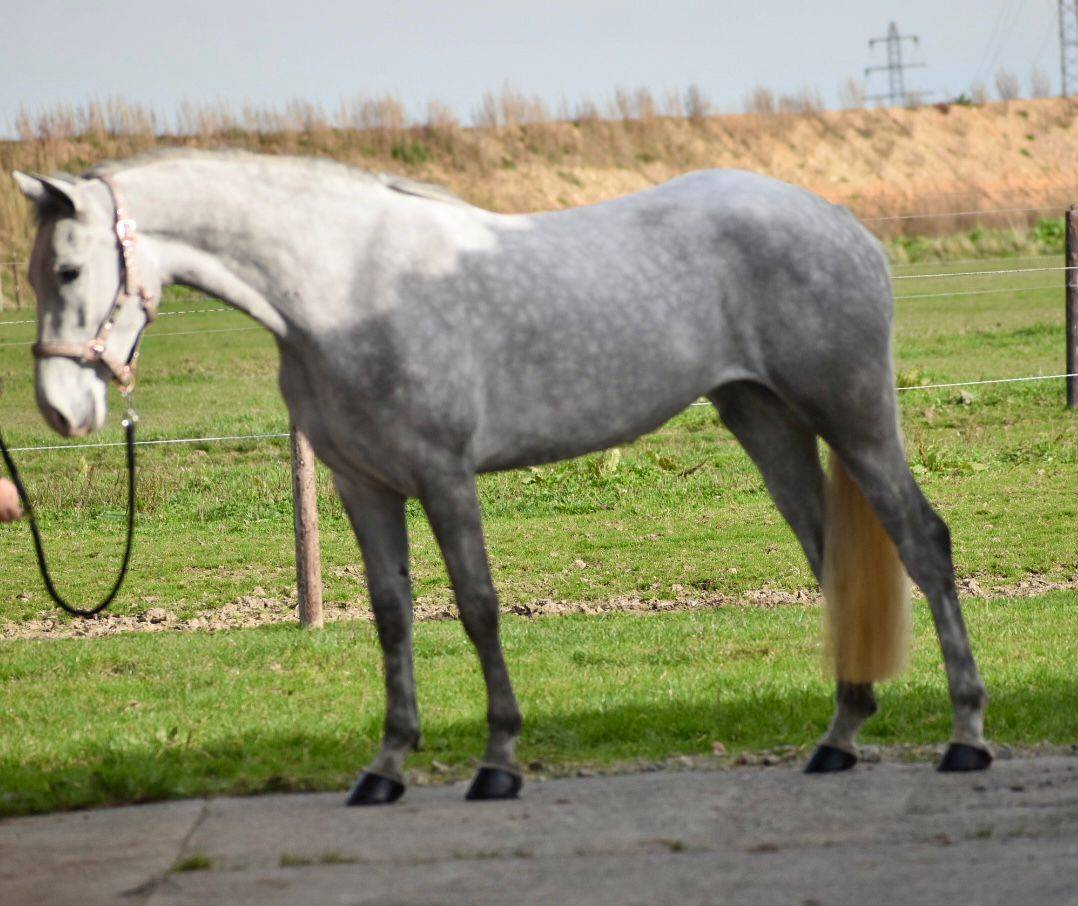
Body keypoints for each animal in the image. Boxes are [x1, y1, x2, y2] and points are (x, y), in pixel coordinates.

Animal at [12, 150, 992, 804]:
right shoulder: (363, 486)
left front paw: (498, 762)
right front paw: (386, 767)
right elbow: (393, 616)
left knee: (922, 541)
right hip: (764, 420)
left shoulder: (445, 477)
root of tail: (845, 223)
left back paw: (966, 737)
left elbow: (478, 607)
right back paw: (839, 737)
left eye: (68, 267)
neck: (341, 285)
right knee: (832, 562)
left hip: (854, 417)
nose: (62, 410)